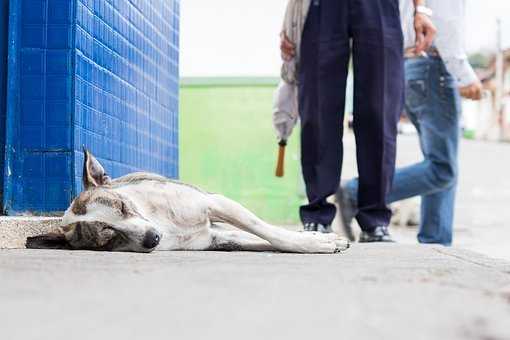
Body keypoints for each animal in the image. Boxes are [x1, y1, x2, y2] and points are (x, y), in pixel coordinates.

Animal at [25, 149, 348, 252]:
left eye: (123, 206)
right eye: (107, 237)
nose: (152, 238)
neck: (161, 222)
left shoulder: (216, 203)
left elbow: (270, 233)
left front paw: (313, 243)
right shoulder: (215, 238)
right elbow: (258, 239)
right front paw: (319, 242)